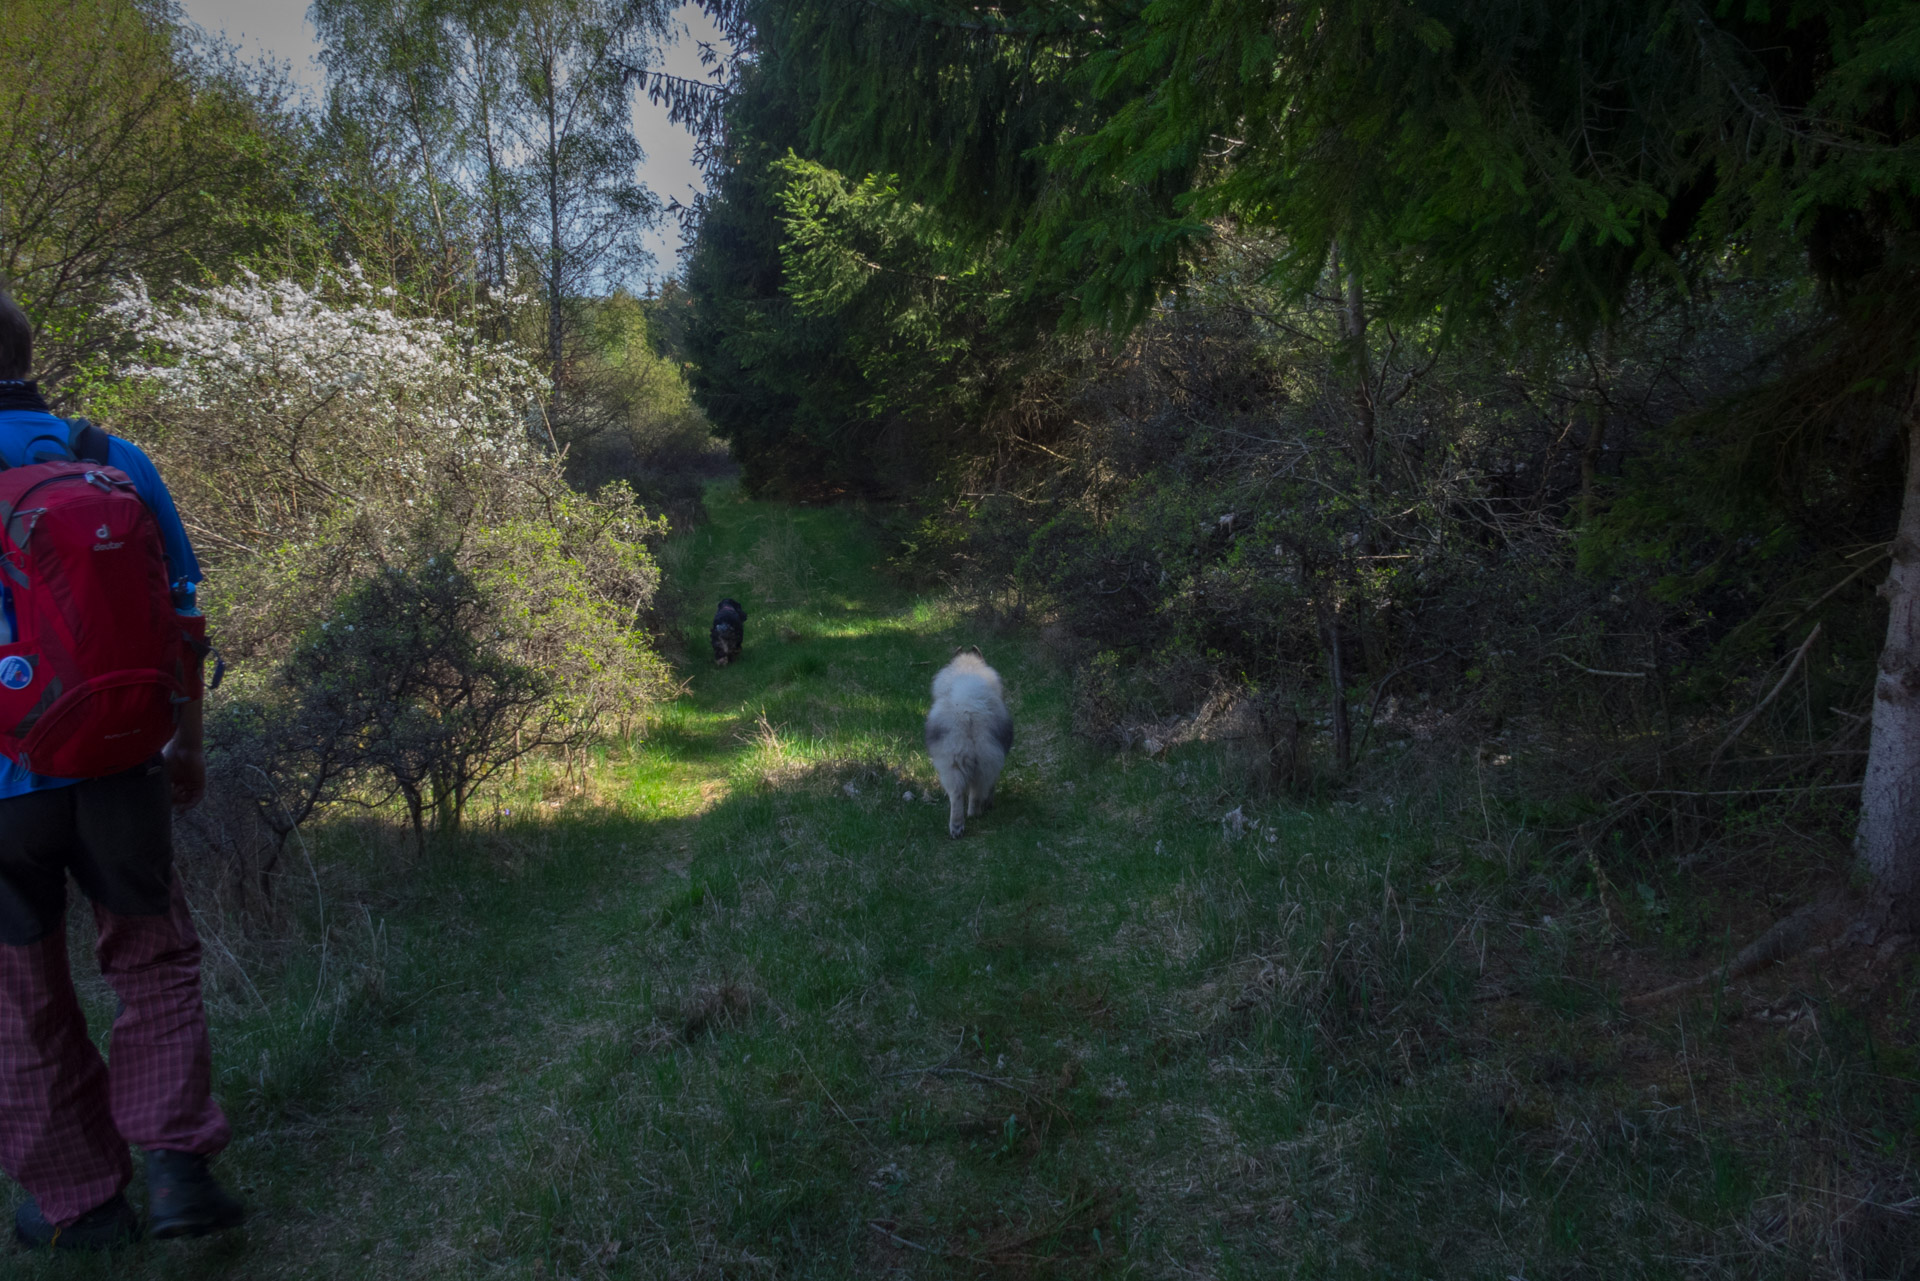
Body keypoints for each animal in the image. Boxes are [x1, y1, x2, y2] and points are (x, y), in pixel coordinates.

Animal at [921, 641, 1013, 841]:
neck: (967, 667)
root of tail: (968, 709)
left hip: (953, 762)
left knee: (957, 796)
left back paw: (957, 827)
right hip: (985, 760)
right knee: (977, 791)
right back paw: (975, 813)